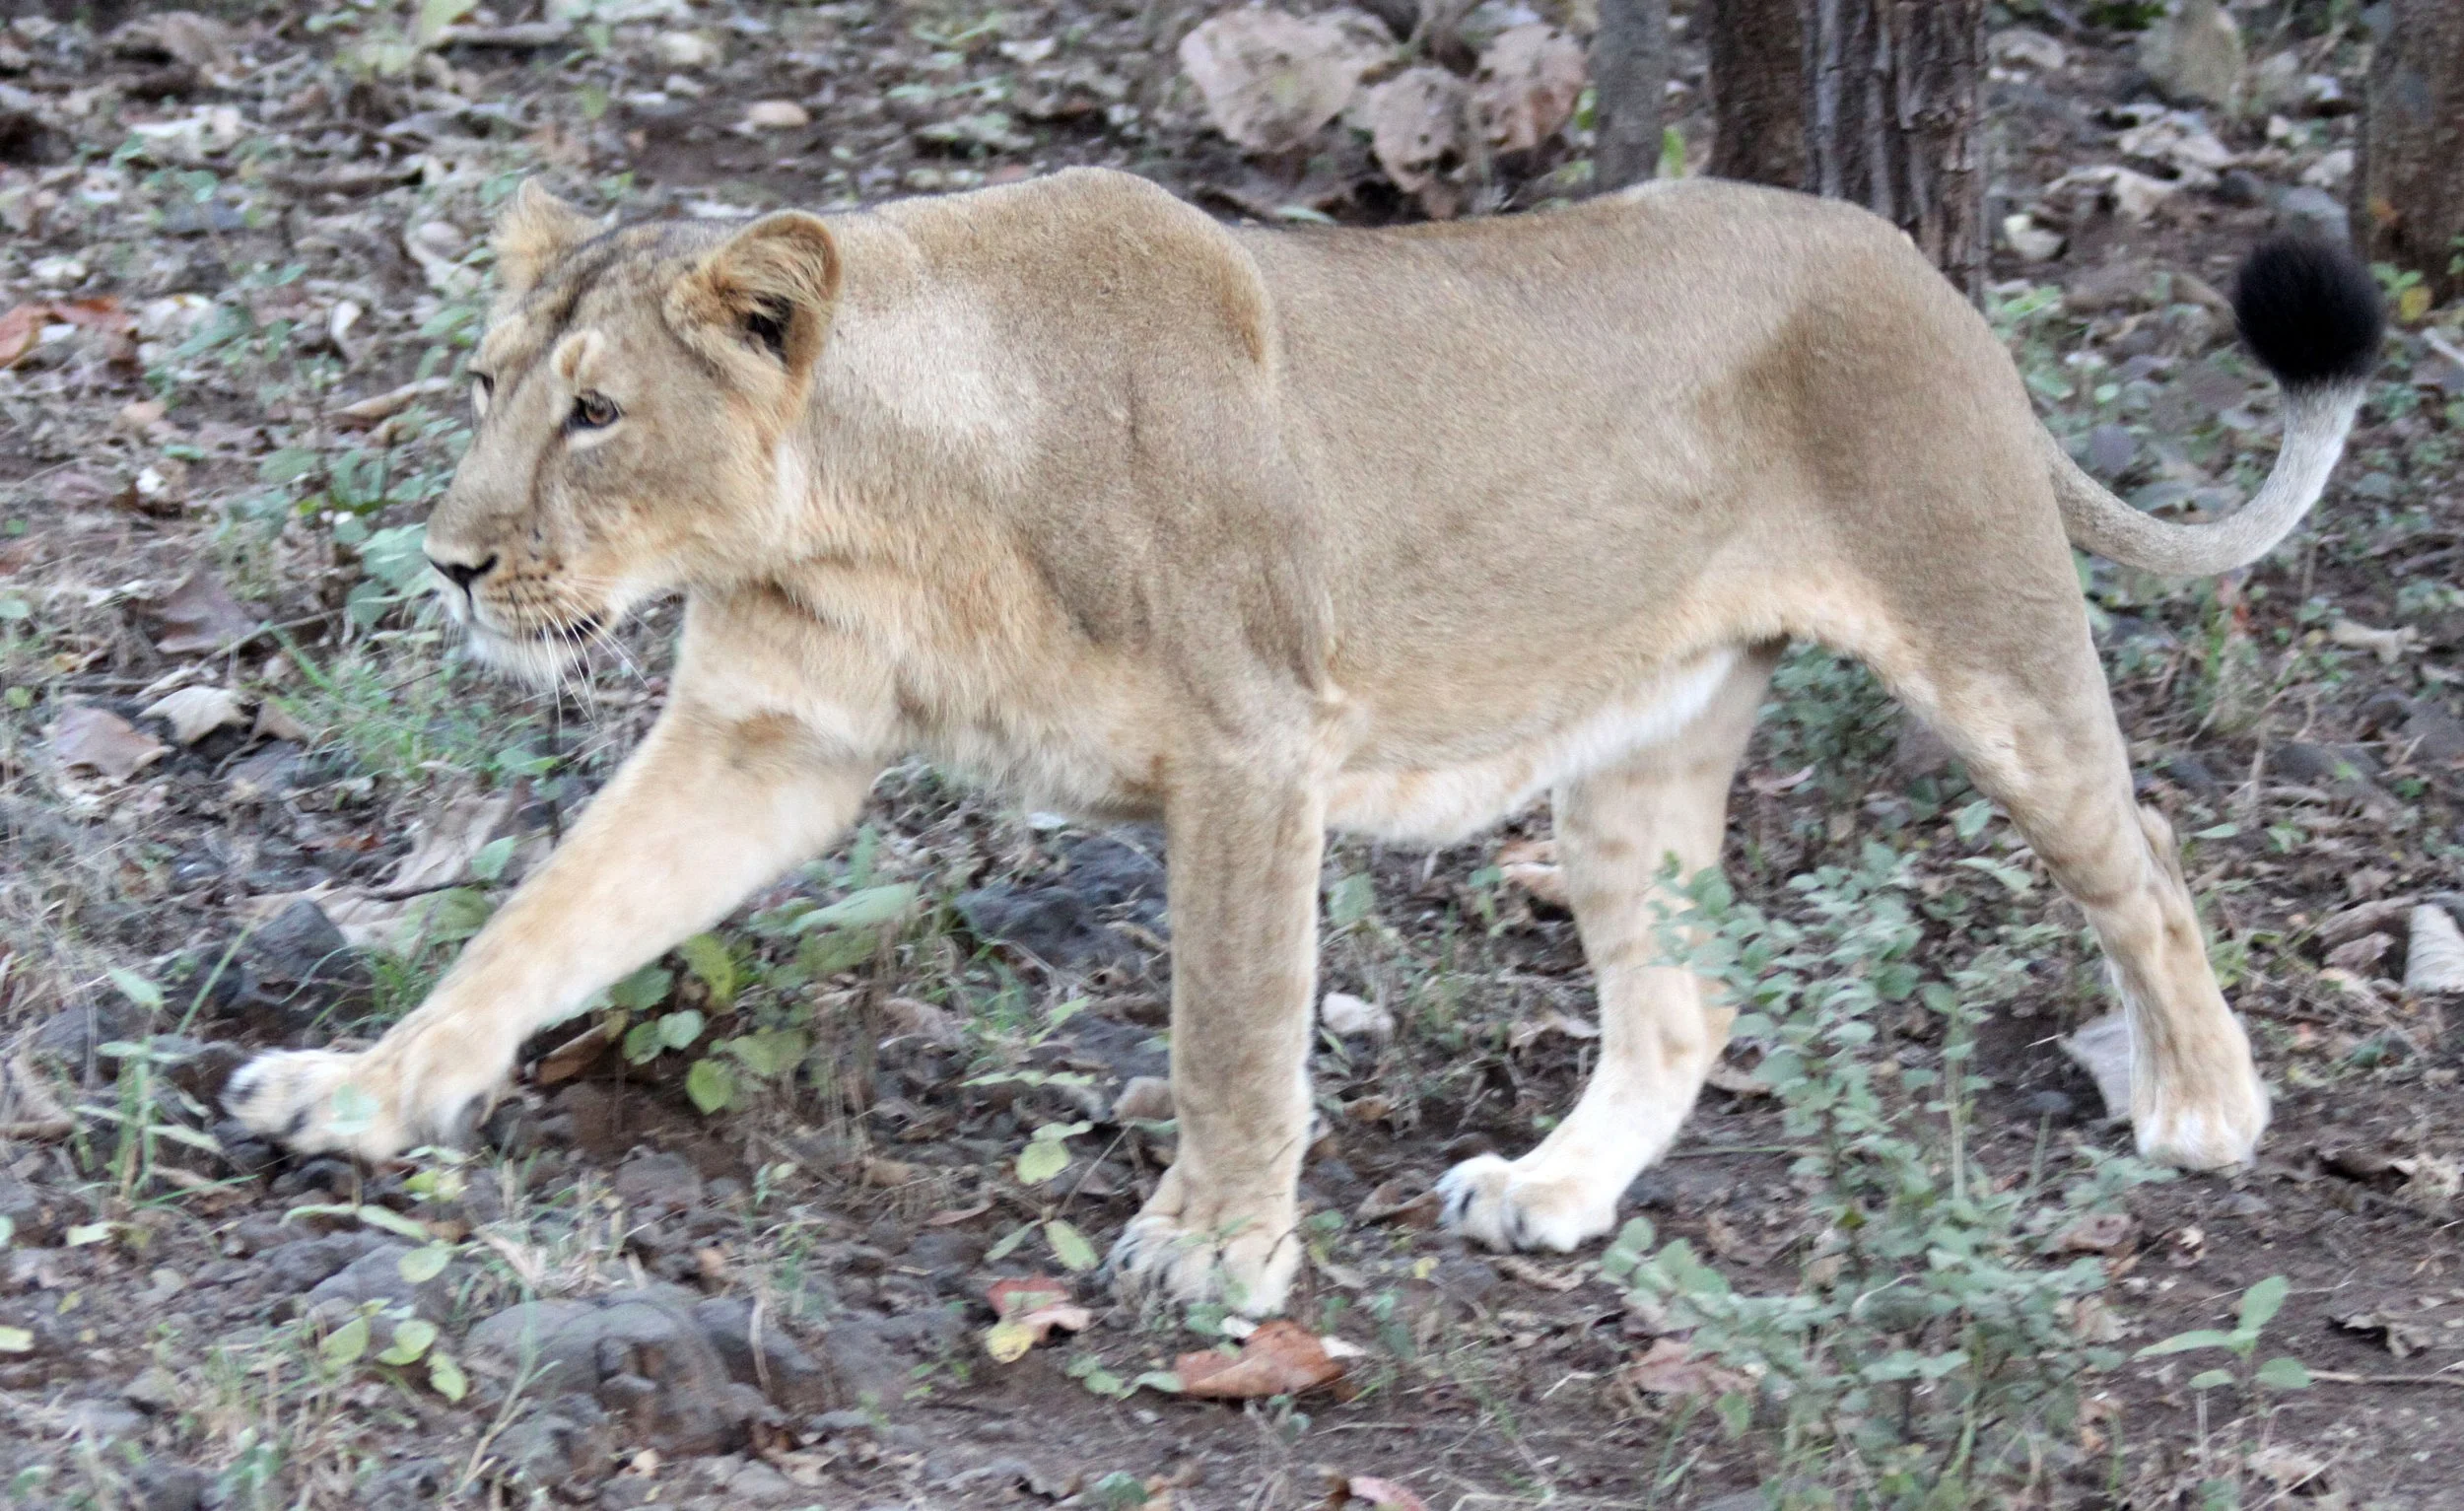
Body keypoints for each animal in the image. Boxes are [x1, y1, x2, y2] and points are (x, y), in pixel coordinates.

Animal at [226, 167, 2381, 1315]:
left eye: (596, 414)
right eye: (487, 385)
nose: (444, 562)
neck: (859, 515)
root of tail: (1917, 261)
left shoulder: (1252, 744)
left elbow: (1232, 1022)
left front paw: (1216, 1250)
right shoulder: (768, 733)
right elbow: (542, 920)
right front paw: (364, 1090)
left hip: (1982, 635)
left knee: (2145, 860)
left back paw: (2204, 1103)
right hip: (1629, 747)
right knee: (1678, 1002)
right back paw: (1554, 1189)